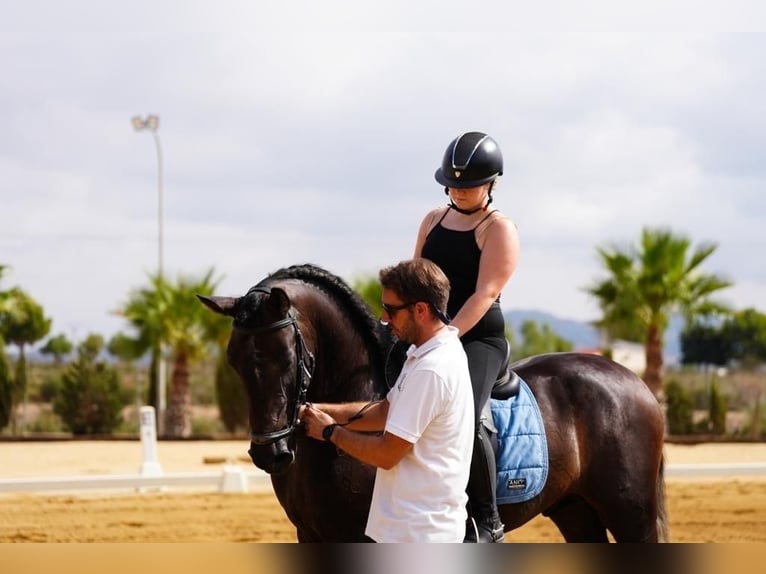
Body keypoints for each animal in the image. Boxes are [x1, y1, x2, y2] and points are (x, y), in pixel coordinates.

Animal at [201, 266, 668, 544]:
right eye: (234, 359)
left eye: (285, 355)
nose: (270, 453)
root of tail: (634, 381)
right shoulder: (312, 535)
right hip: (575, 510)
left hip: (631, 514)